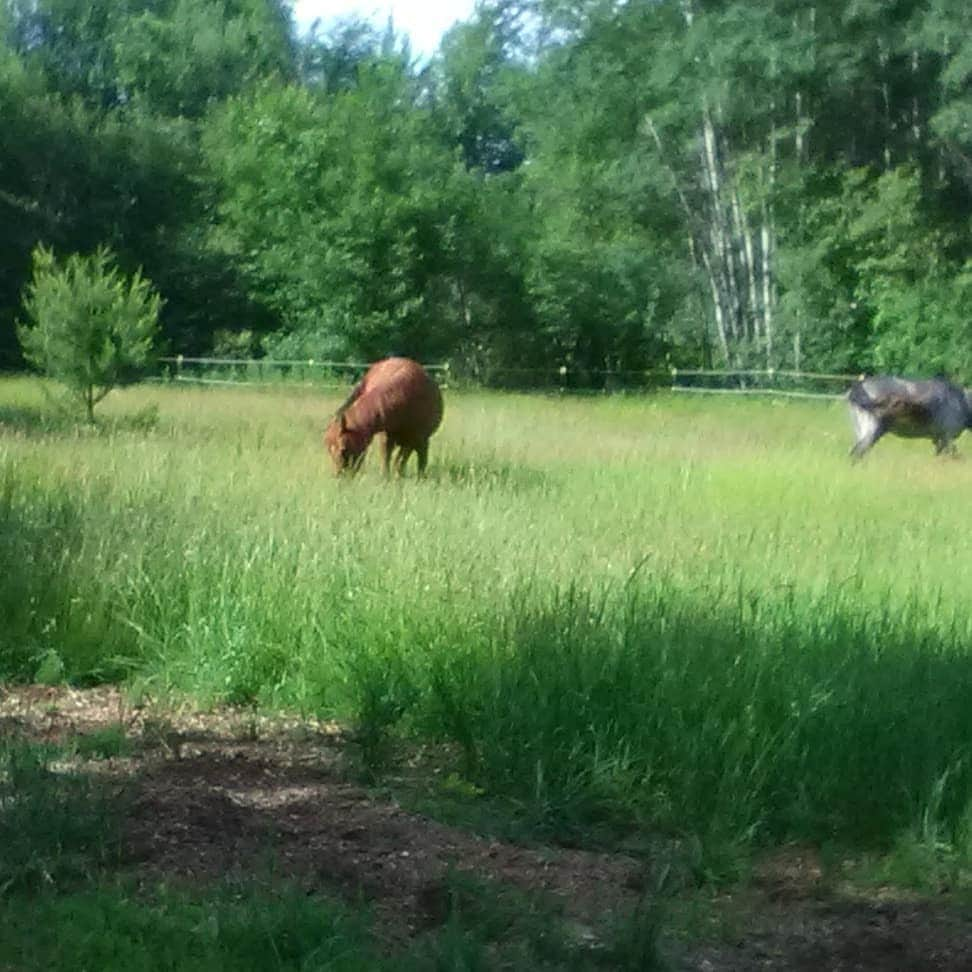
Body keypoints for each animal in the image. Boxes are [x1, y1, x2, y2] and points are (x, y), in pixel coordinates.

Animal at [844, 376, 972, 460]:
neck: (963, 402)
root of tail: (859, 388)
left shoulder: (939, 439)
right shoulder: (947, 437)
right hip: (872, 431)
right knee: (857, 453)